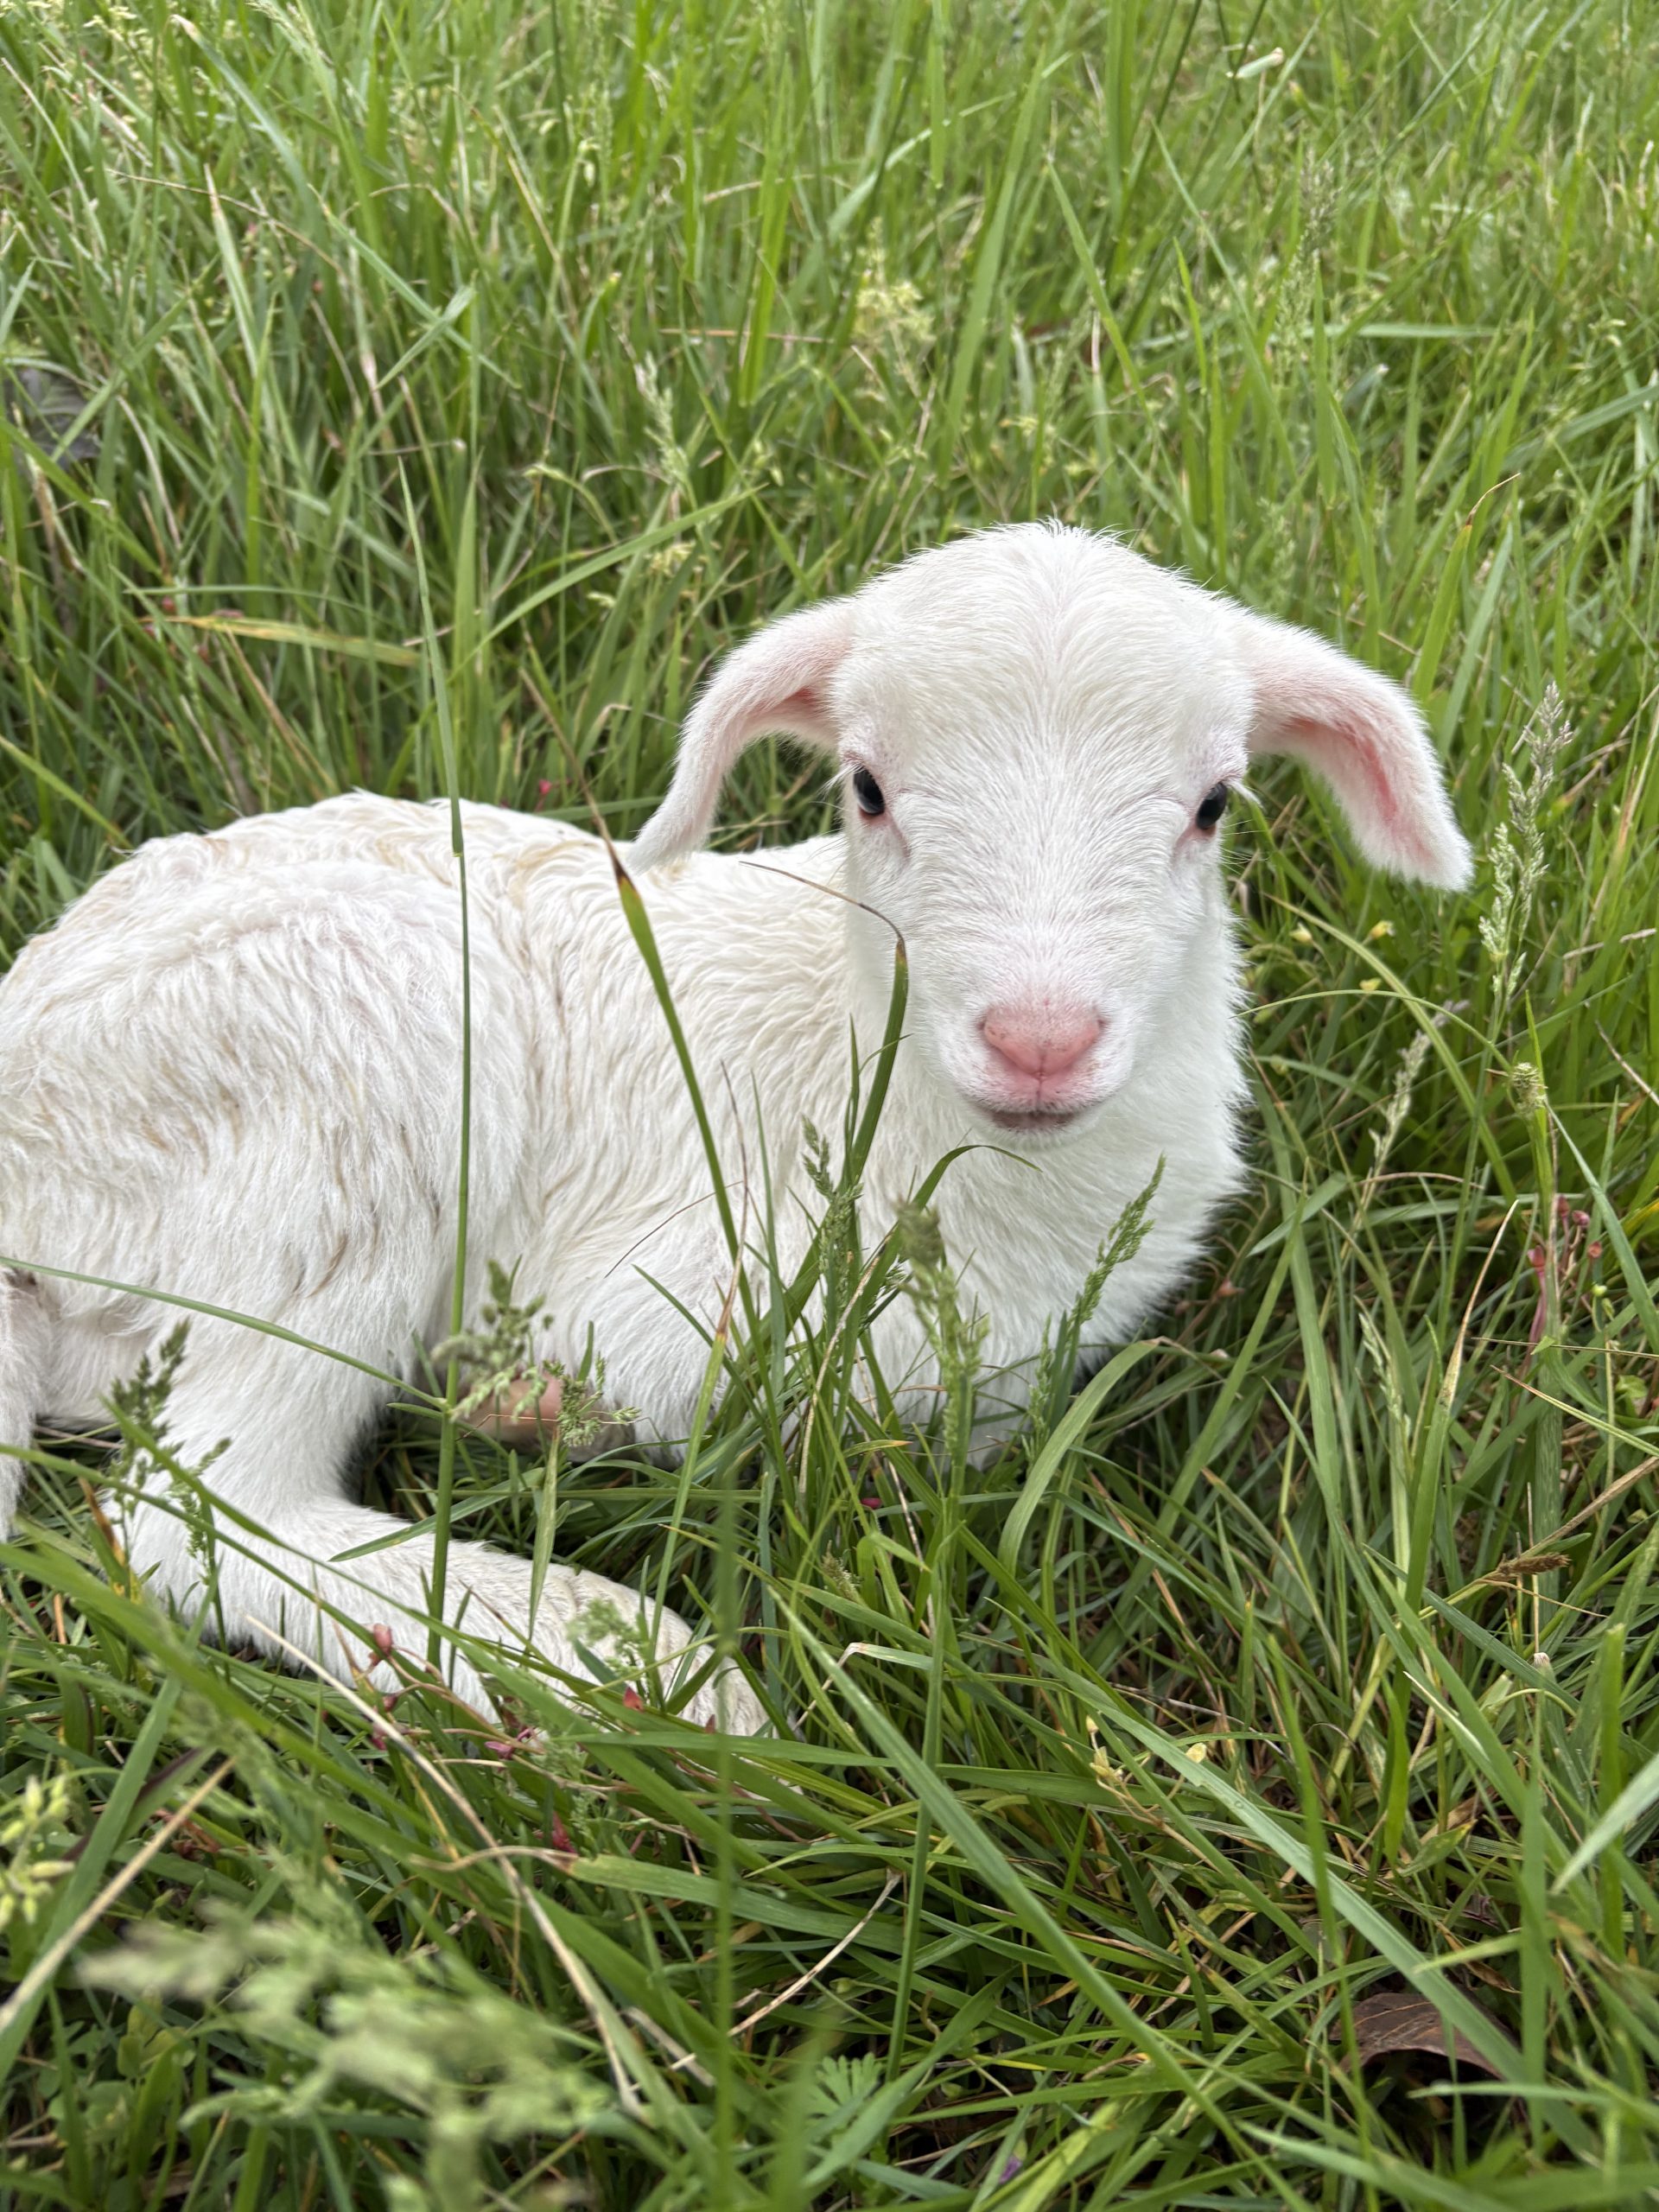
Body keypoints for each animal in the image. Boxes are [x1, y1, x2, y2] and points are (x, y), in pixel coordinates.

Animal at [0, 523, 1471, 1733]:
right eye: (867, 788)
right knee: (198, 1510)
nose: (1039, 1039)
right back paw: (623, 1660)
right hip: (358, 1056)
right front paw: (540, 1427)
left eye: (1213, 805)